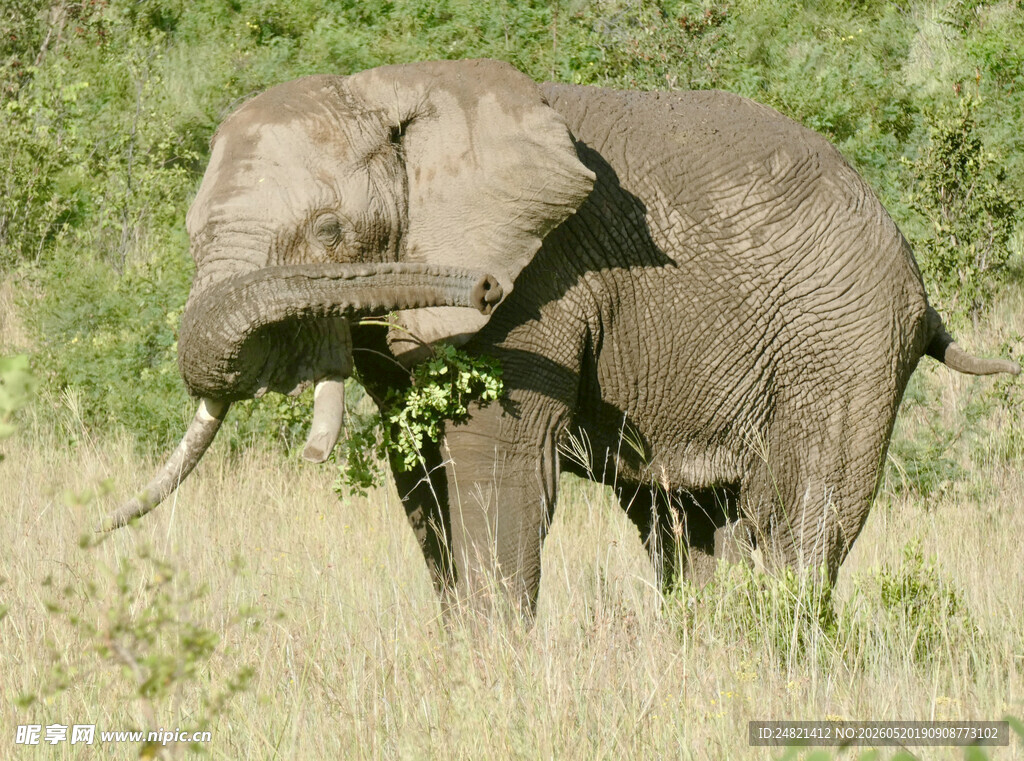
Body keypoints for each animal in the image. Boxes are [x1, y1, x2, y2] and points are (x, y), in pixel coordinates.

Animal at [108, 58, 1018, 615]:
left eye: (329, 231)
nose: (475, 284)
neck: (393, 88)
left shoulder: (542, 280)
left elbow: (495, 464)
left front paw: (492, 665)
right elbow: (422, 475)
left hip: (845, 334)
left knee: (798, 517)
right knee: (685, 524)